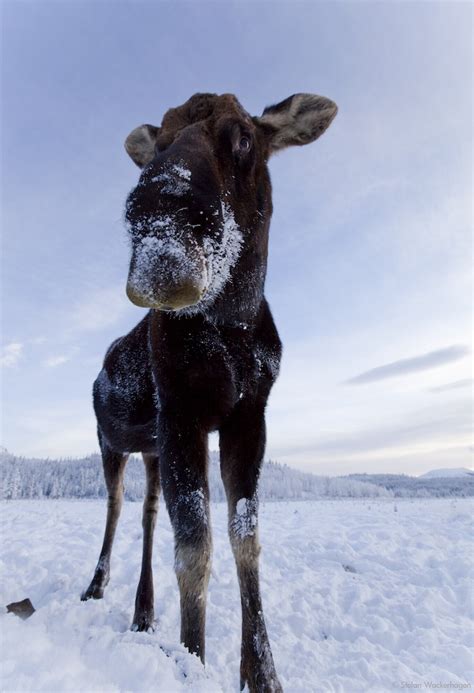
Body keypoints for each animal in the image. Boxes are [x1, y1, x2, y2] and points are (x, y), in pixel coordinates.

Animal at [82, 93, 336, 692]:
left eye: (243, 136)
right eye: (162, 138)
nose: (160, 211)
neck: (233, 326)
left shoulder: (248, 416)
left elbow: (246, 537)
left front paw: (261, 672)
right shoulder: (183, 412)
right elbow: (195, 548)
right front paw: (191, 660)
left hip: (151, 450)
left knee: (149, 512)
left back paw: (143, 611)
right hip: (112, 443)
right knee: (115, 508)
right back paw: (97, 586)